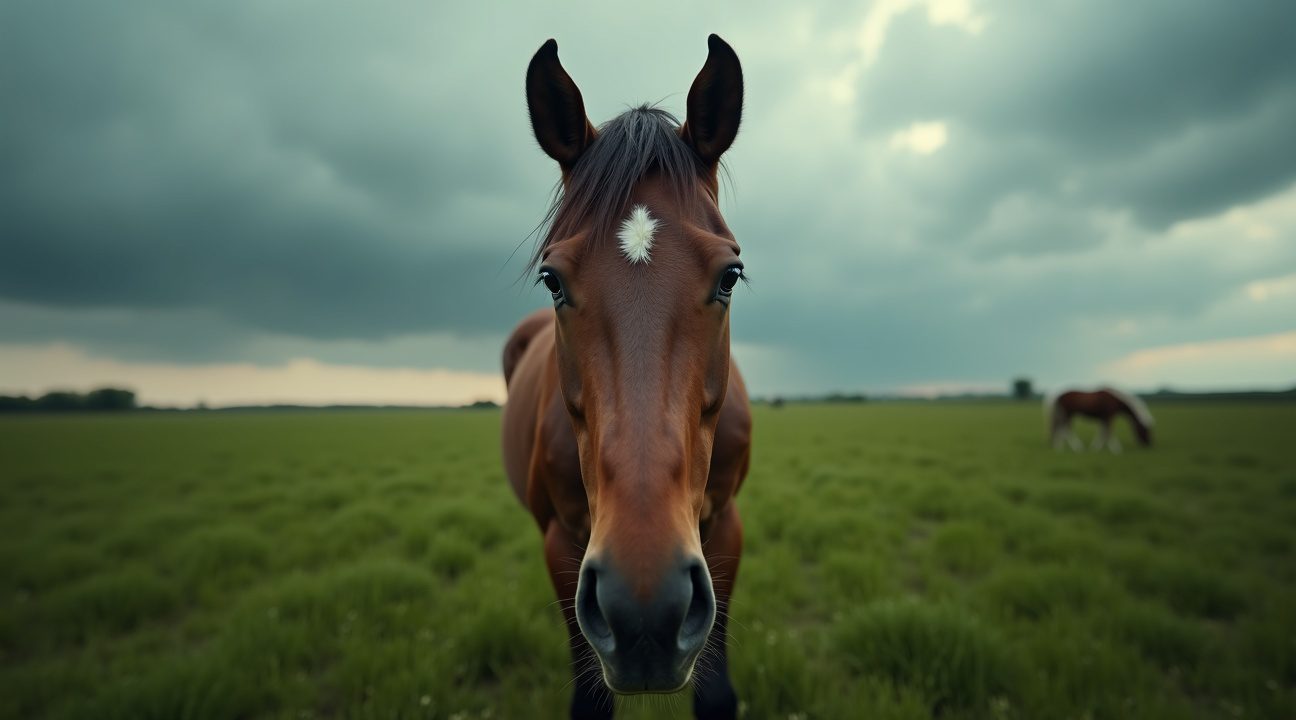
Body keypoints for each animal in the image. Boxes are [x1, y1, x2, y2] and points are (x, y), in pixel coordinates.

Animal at [500, 35, 751, 719]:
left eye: (730, 275)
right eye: (552, 280)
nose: (646, 613)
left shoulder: (725, 528)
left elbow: (716, 693)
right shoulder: (562, 546)